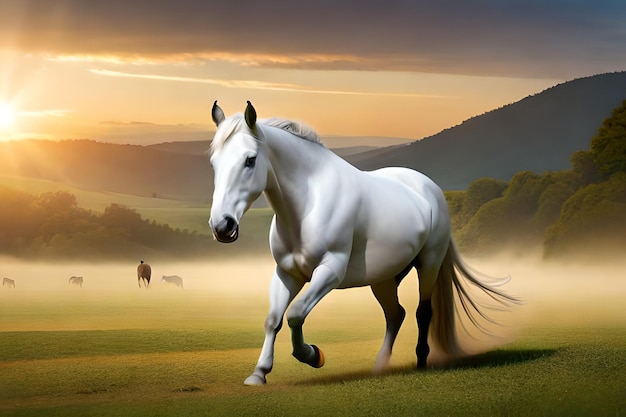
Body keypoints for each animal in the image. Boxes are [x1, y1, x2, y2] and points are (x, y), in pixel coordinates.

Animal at [207, 100, 516, 384]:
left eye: (250, 160)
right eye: (214, 163)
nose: (222, 226)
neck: (309, 204)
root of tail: (430, 188)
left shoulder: (330, 271)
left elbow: (295, 314)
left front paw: (314, 355)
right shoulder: (286, 273)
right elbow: (273, 319)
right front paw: (259, 373)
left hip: (429, 264)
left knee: (422, 312)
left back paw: (420, 362)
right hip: (384, 278)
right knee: (396, 314)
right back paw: (379, 366)